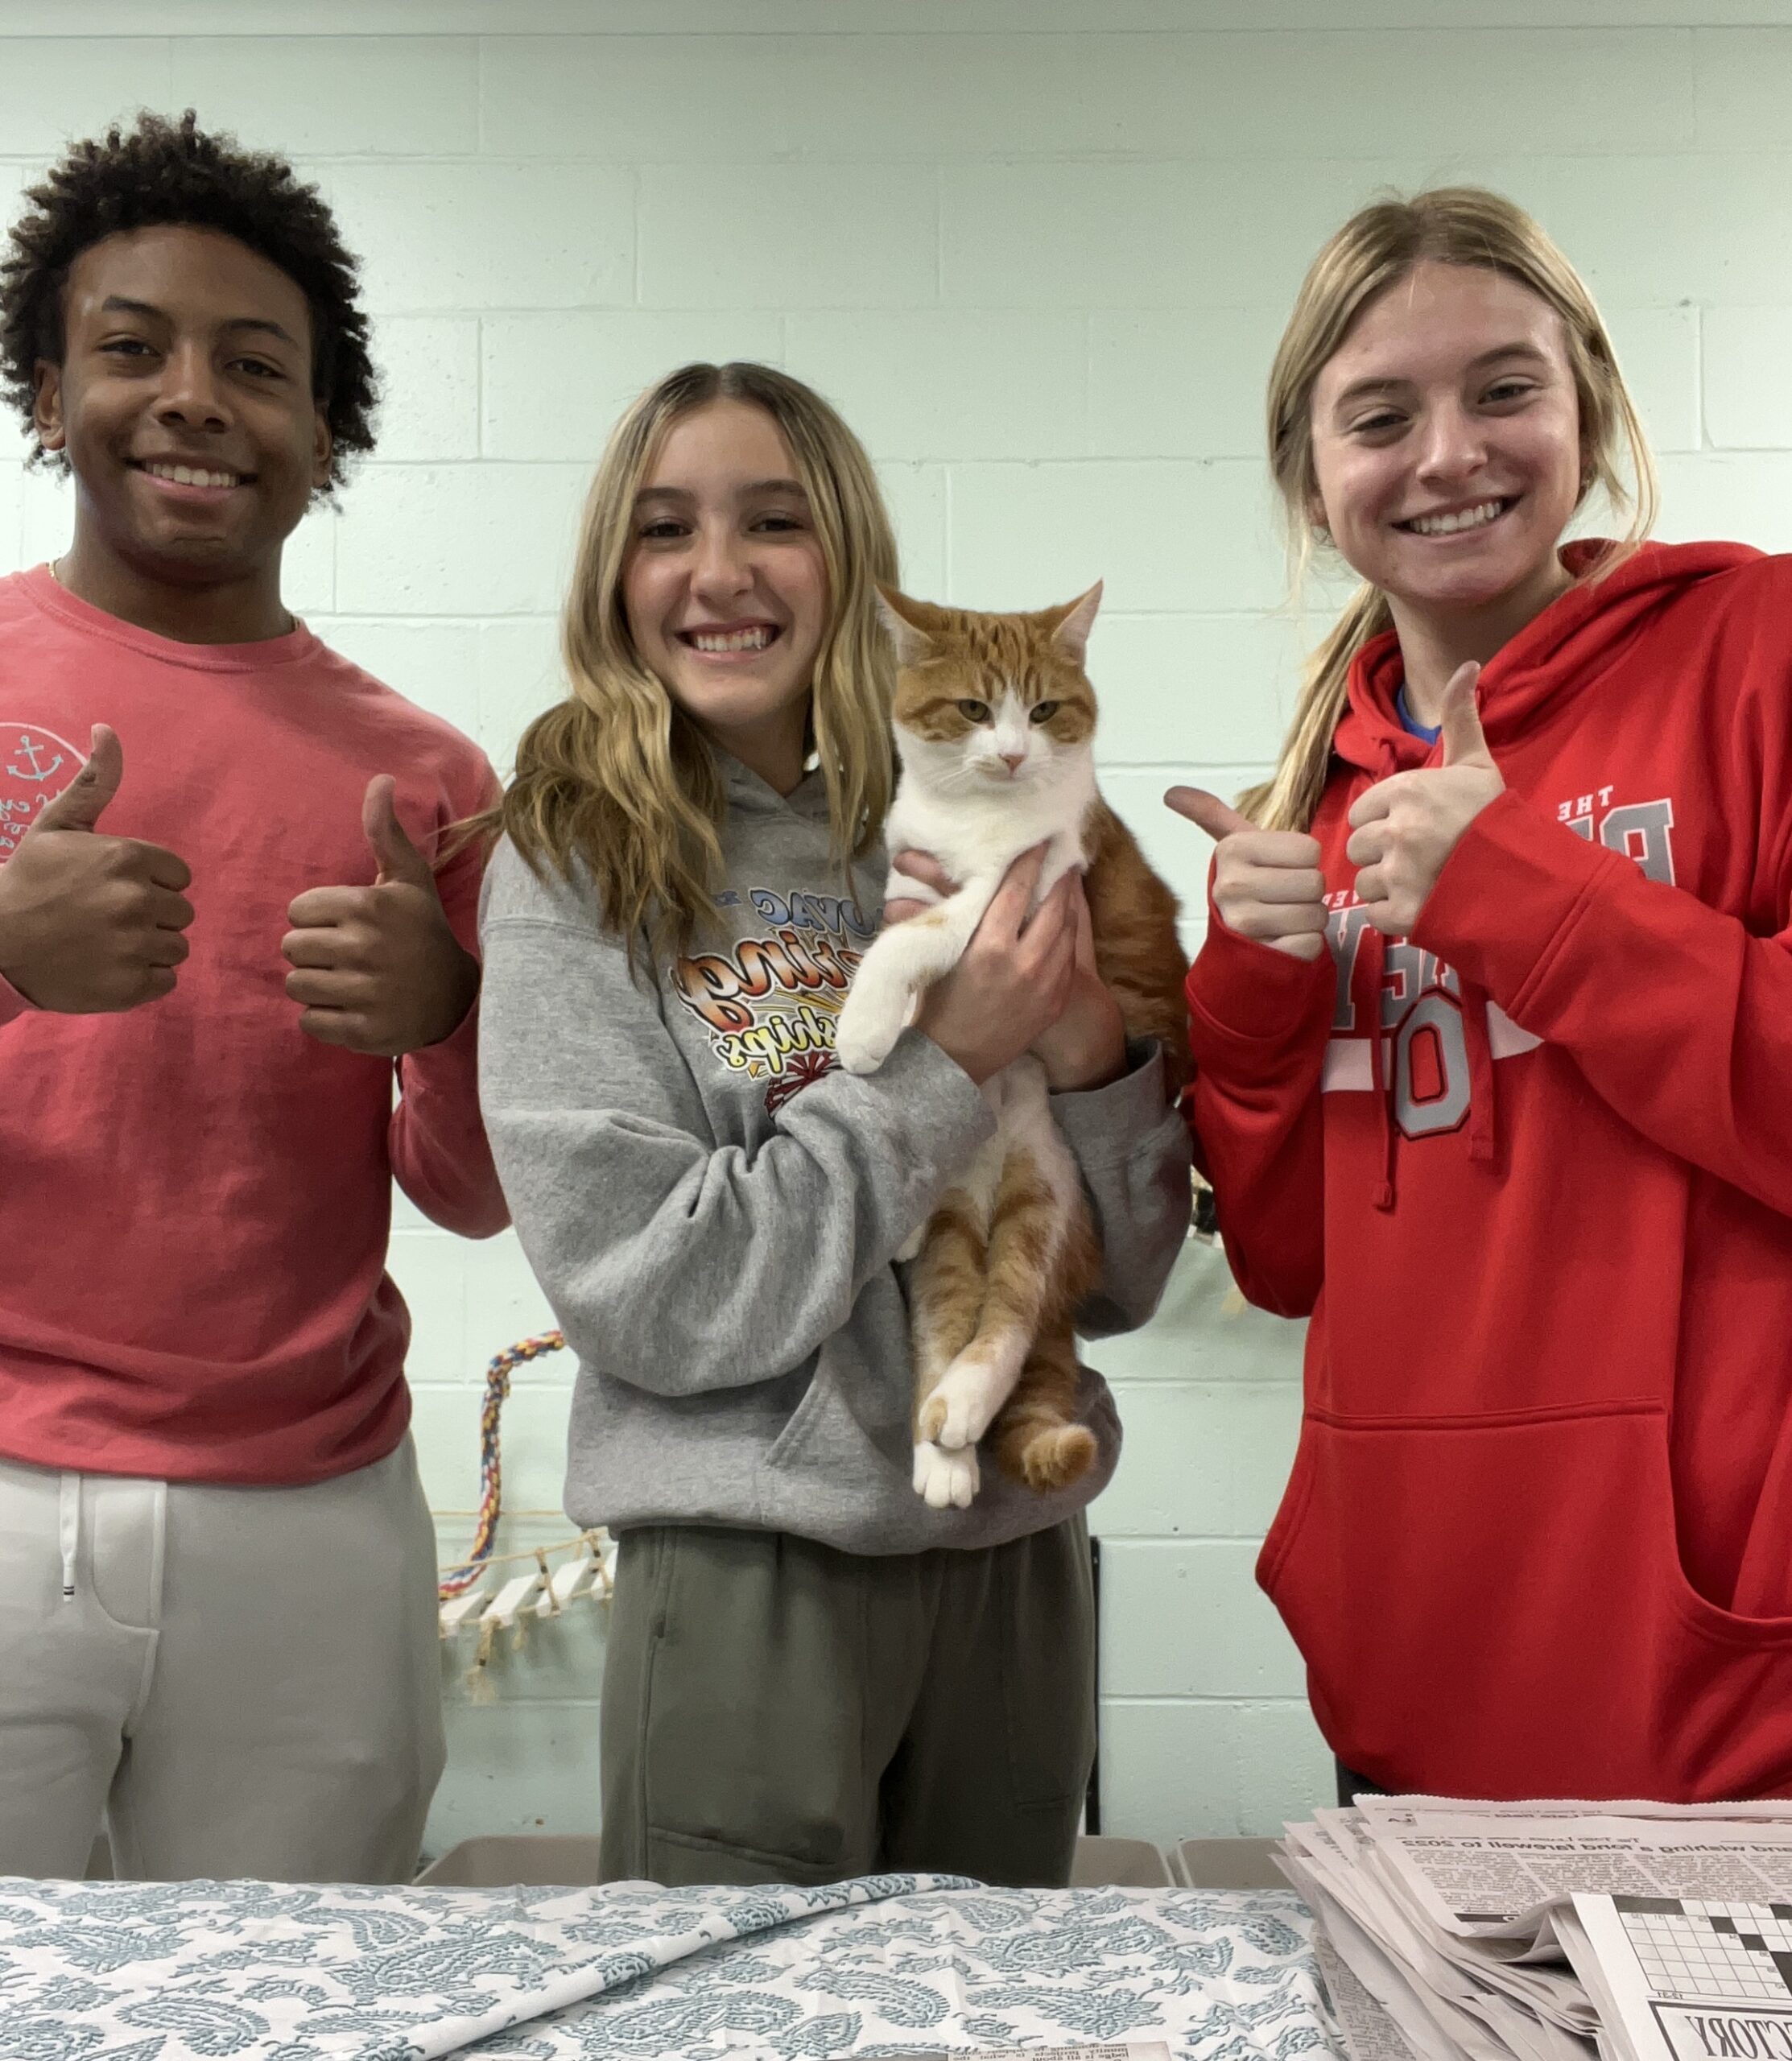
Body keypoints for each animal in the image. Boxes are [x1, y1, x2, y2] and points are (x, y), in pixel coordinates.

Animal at [840, 589, 1195, 1508]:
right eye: (973, 709)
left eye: (1043, 711)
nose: (1009, 753)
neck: (974, 817)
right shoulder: (910, 878)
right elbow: (909, 973)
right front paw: (878, 1026)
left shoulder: (1021, 890)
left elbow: (916, 938)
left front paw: (861, 1022)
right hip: (955, 1226)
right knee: (944, 1320)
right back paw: (942, 1450)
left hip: (1049, 1202)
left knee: (1008, 1318)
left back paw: (967, 1403)